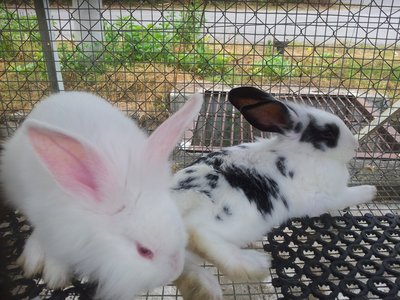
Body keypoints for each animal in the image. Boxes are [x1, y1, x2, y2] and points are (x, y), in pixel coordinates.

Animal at [170, 85, 376, 298]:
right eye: (328, 134)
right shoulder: (326, 197)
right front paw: (371, 191)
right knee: (197, 234)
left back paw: (204, 289)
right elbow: (349, 196)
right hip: (220, 214)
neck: (302, 153)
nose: (355, 147)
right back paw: (253, 266)